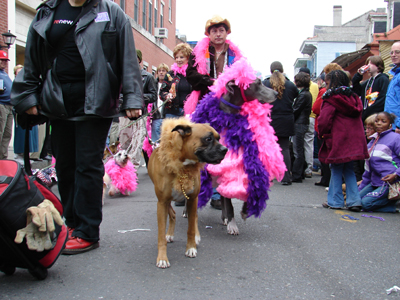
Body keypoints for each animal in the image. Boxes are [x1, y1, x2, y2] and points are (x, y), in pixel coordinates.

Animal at [148, 116, 228, 268]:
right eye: (208, 139)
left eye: (218, 138)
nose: (225, 149)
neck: (183, 165)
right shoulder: (161, 202)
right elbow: (160, 234)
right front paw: (162, 258)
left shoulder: (192, 199)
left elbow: (190, 227)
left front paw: (191, 248)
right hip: (166, 202)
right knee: (172, 214)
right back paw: (169, 234)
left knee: (193, 217)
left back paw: (196, 236)